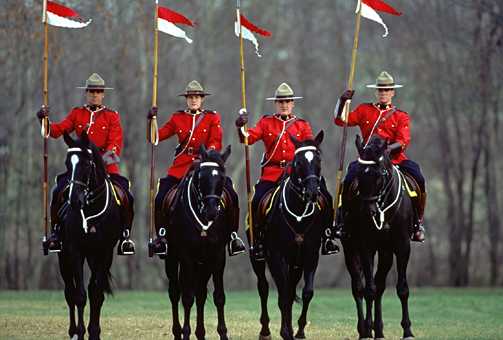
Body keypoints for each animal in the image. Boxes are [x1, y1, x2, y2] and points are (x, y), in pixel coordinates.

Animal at [57, 131, 123, 338]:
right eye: (67, 164)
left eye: (87, 164)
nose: (74, 200)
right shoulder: (74, 251)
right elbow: (79, 296)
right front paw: (80, 331)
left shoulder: (104, 253)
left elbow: (96, 294)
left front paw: (94, 331)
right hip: (63, 258)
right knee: (69, 292)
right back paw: (73, 331)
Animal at [164, 145, 237, 338]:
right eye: (200, 177)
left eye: (222, 178)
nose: (211, 211)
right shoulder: (187, 257)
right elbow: (187, 297)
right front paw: (186, 332)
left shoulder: (217, 257)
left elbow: (218, 297)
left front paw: (223, 333)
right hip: (172, 258)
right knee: (175, 292)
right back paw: (178, 331)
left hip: (203, 264)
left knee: (201, 293)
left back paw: (200, 332)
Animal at [250, 131, 332, 340]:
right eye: (298, 162)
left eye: (318, 159)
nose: (312, 192)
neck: (298, 213)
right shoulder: (276, 256)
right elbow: (283, 295)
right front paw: (286, 331)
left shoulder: (310, 255)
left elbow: (306, 292)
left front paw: (300, 330)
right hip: (259, 258)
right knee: (263, 287)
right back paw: (265, 330)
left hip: (296, 263)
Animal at [342, 135, 418, 340]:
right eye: (360, 175)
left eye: (380, 175)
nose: (370, 212)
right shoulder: (366, 247)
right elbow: (369, 290)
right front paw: (367, 329)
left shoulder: (402, 247)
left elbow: (402, 289)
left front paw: (407, 330)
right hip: (351, 249)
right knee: (358, 287)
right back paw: (364, 329)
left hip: (385, 253)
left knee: (380, 285)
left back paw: (379, 330)